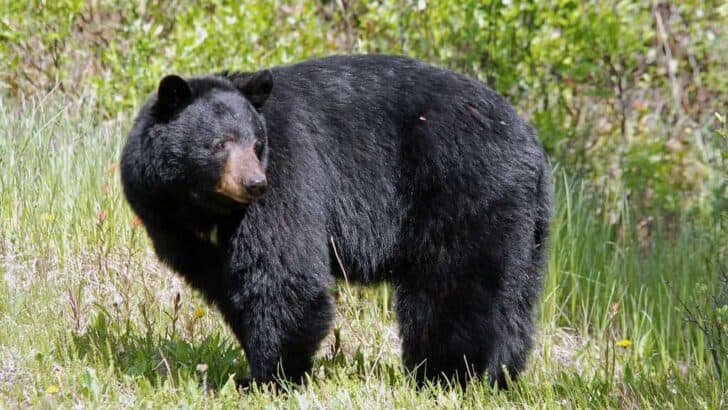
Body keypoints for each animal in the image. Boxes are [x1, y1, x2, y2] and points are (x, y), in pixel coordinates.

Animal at [120, 54, 552, 388]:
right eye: (220, 144)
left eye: (256, 145)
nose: (255, 183)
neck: (203, 204)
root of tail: (531, 143)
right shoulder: (170, 220)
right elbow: (227, 283)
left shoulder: (289, 171)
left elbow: (283, 273)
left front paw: (267, 377)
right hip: (526, 222)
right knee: (513, 297)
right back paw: (499, 374)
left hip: (464, 190)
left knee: (455, 287)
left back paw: (447, 375)